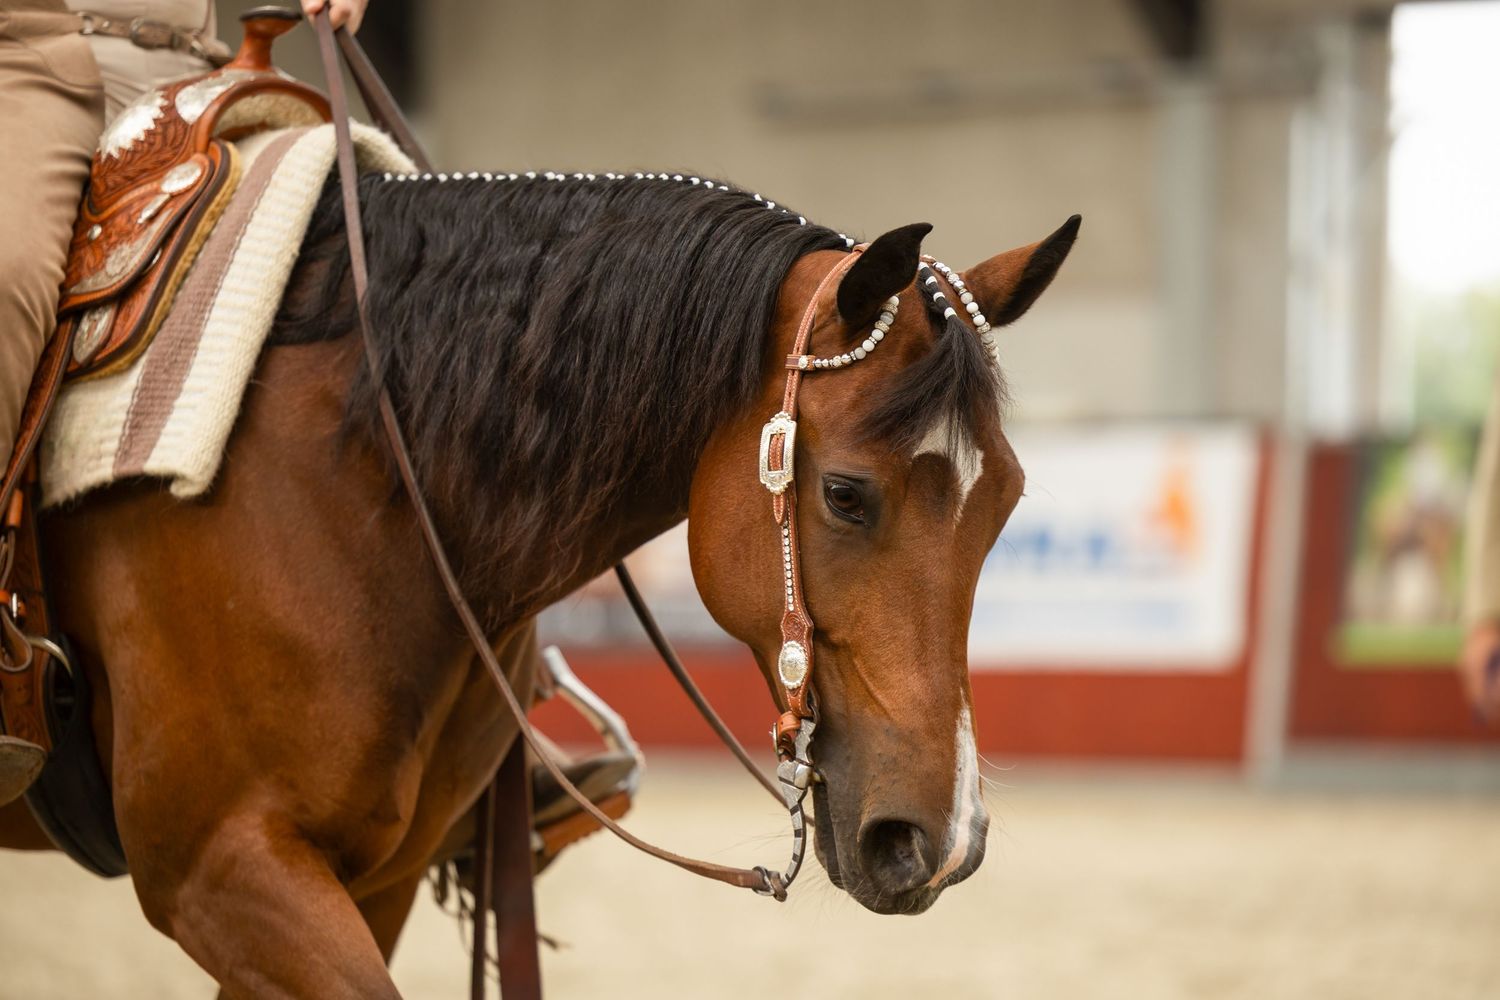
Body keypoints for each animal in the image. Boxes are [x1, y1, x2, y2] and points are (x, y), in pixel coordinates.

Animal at [0, 165, 1077, 997]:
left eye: (1006, 503)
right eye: (848, 494)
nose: (940, 839)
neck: (363, 475)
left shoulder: (369, 880)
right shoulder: (220, 866)